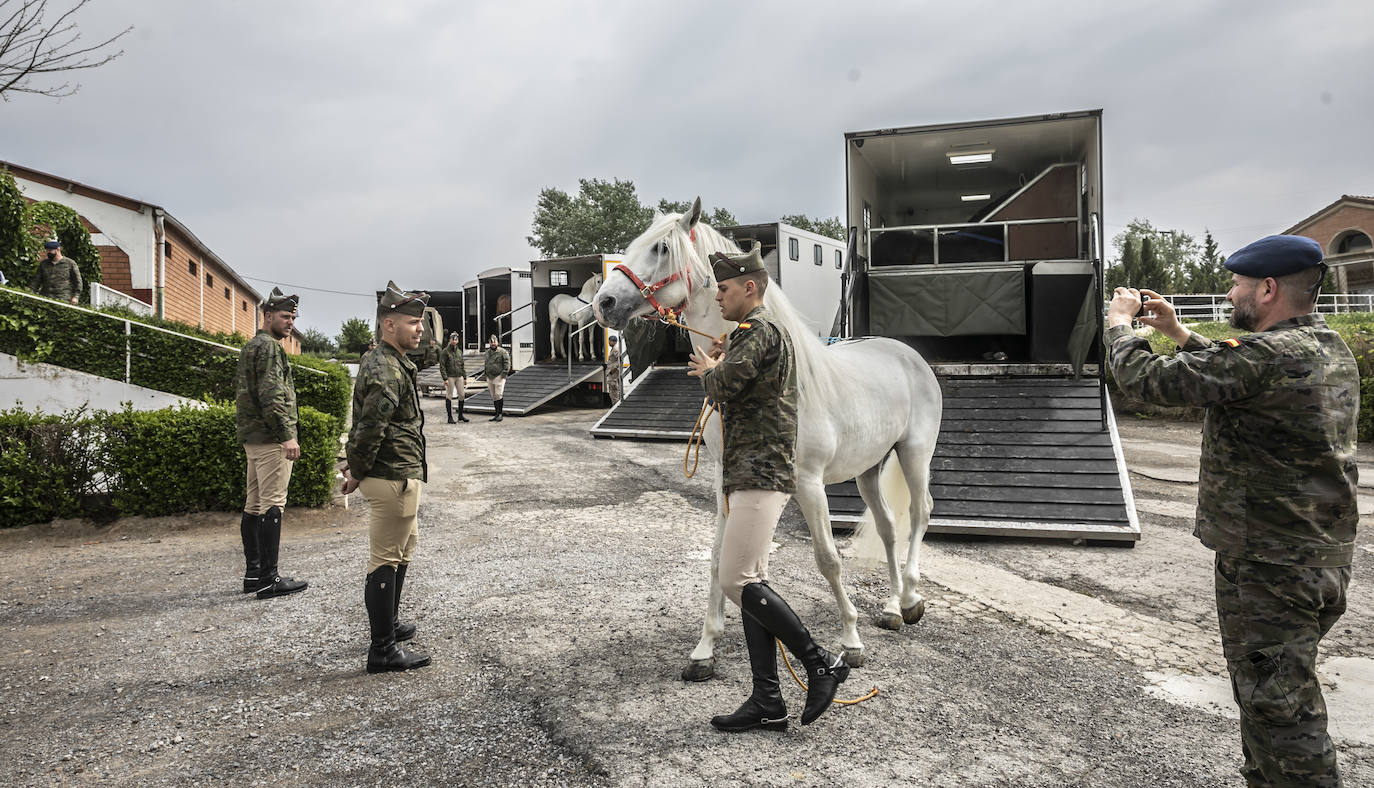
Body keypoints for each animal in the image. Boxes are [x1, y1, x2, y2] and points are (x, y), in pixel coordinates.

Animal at [590, 199, 945, 686]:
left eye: (661, 248)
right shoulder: (727, 479)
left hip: (914, 454)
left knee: (919, 514)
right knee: (889, 527)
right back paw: (891, 607)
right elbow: (720, 559)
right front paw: (705, 649)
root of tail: (908, 354)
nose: (603, 303)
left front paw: (851, 642)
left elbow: (828, 558)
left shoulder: (809, 484)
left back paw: (909, 600)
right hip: (869, 469)